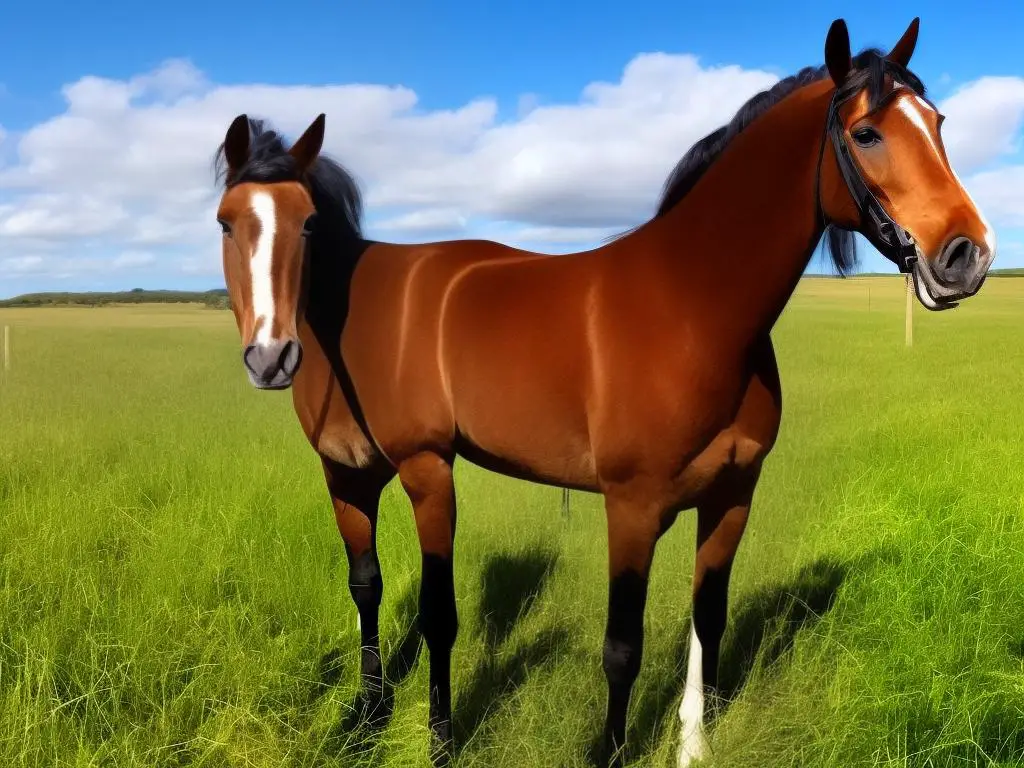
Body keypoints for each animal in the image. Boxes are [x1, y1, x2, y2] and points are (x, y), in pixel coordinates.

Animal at [209, 18, 991, 768]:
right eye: (866, 133)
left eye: (939, 122)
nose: (967, 255)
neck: (691, 309)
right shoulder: (633, 508)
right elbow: (621, 648)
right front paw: (609, 750)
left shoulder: (734, 495)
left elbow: (709, 618)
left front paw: (693, 747)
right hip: (400, 471)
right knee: (400, 597)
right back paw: (406, 729)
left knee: (373, 586)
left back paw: (374, 716)